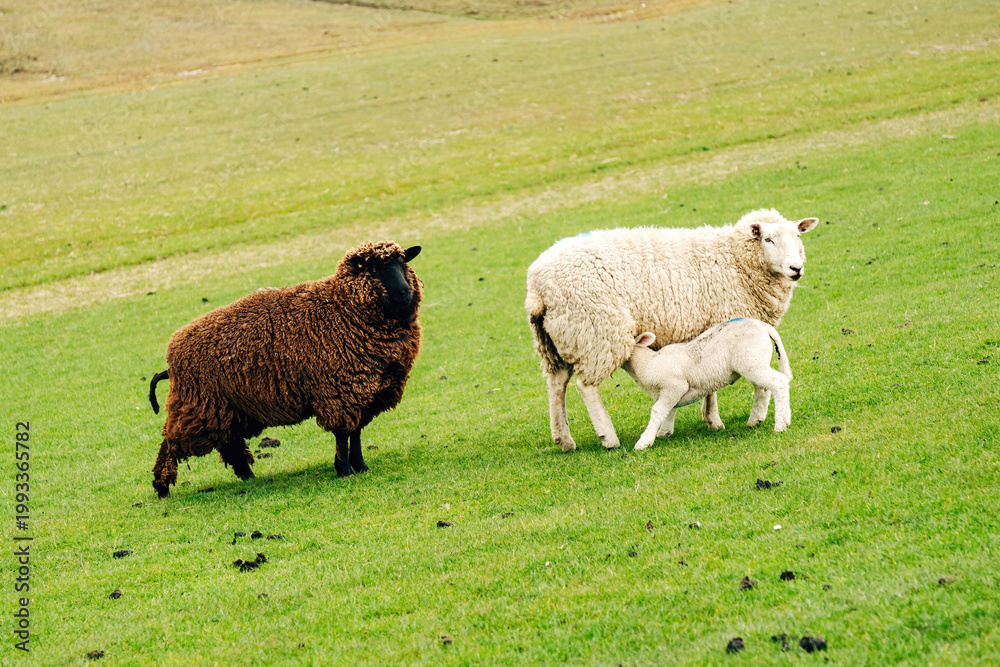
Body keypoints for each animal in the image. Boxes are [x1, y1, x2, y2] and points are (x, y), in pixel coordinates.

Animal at [148, 241, 423, 497]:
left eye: (403, 263)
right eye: (374, 269)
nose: (404, 292)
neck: (342, 309)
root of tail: (172, 356)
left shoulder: (363, 393)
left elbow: (355, 435)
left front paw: (361, 467)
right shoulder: (339, 394)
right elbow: (343, 436)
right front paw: (344, 470)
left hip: (226, 409)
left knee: (230, 444)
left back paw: (248, 477)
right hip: (199, 407)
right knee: (170, 443)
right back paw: (162, 488)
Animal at [623, 318, 793, 449]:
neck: (647, 363)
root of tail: (763, 326)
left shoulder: (674, 386)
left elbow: (658, 411)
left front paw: (644, 442)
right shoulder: (669, 392)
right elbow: (670, 410)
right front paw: (664, 432)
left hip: (751, 362)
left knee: (779, 382)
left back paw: (781, 424)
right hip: (755, 362)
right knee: (763, 389)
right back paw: (756, 420)